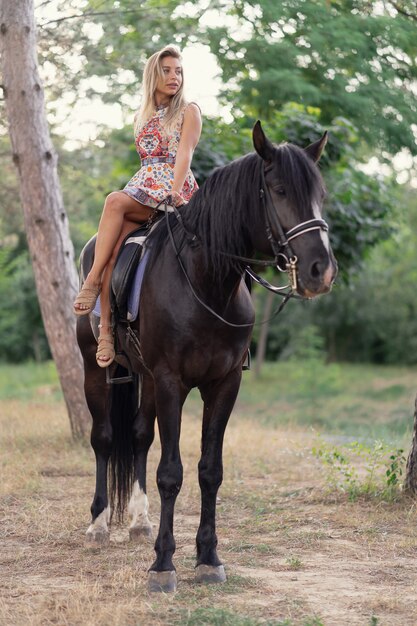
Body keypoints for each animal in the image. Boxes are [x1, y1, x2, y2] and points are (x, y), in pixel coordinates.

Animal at [76, 122, 336, 588]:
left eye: (320, 194)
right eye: (280, 190)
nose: (320, 271)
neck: (205, 281)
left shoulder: (224, 383)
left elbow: (209, 471)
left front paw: (208, 557)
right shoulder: (171, 382)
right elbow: (171, 473)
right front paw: (164, 564)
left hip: (144, 378)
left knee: (138, 437)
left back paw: (139, 521)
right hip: (96, 369)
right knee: (103, 438)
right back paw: (99, 524)